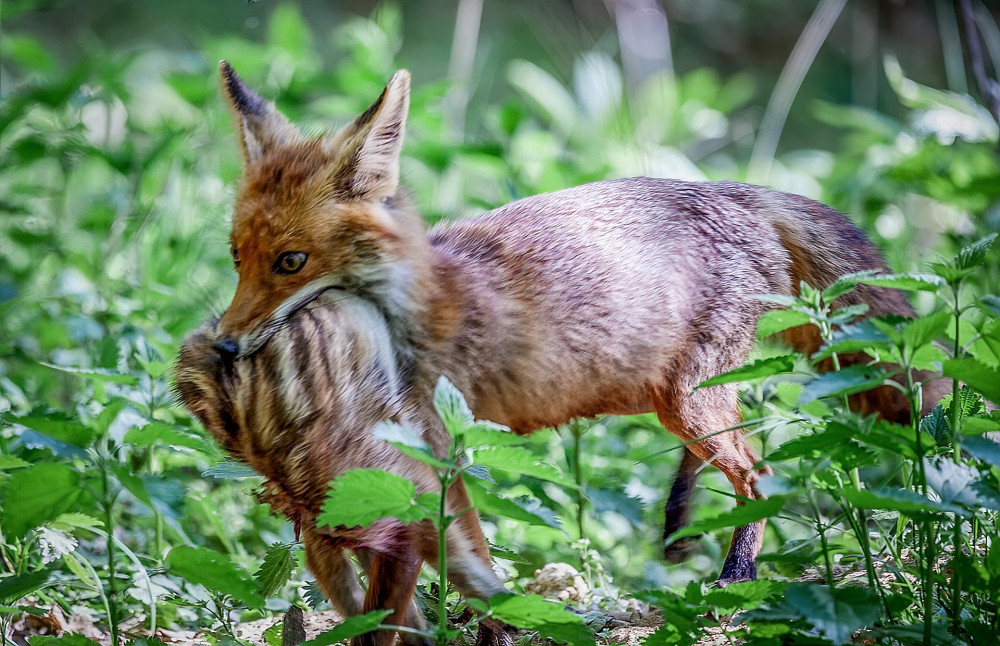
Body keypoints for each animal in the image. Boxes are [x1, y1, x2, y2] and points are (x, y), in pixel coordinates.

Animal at [180, 59, 944, 636]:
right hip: (676, 402)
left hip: (687, 405)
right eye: (237, 258)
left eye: (291, 262)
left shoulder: (433, 455)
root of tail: (738, 191)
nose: (226, 347)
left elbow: (443, 568)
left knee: (759, 474)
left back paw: (733, 585)